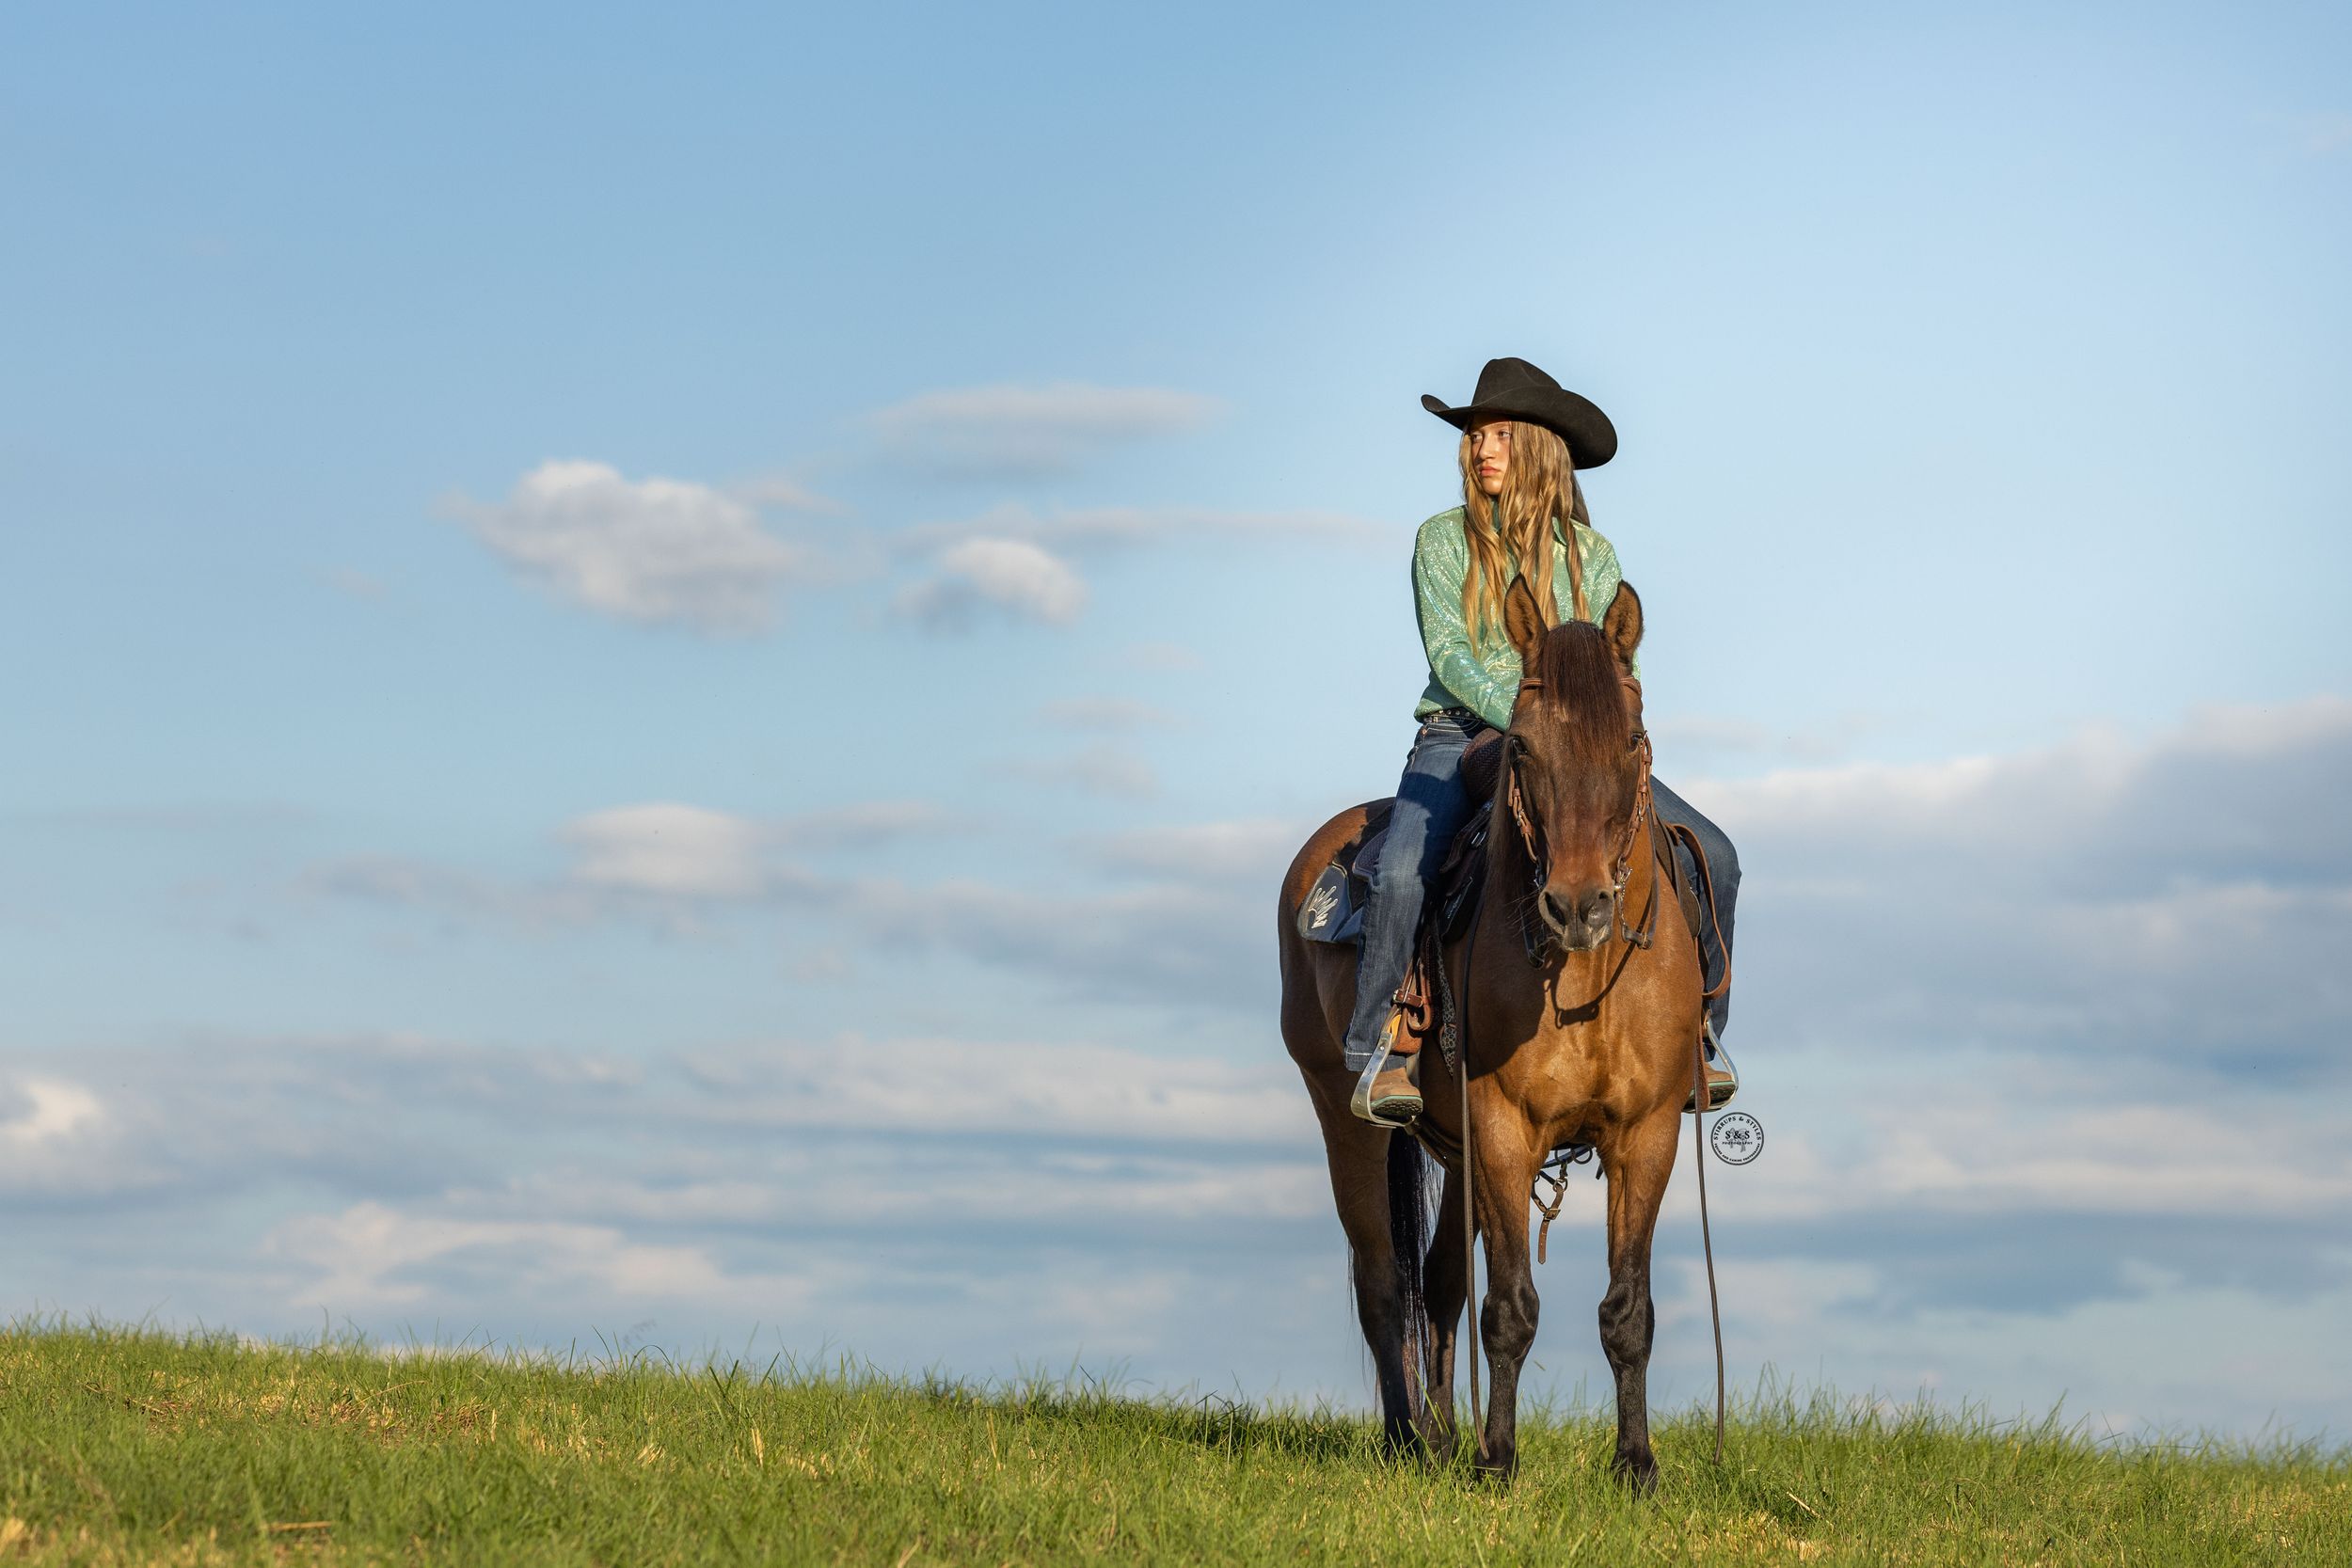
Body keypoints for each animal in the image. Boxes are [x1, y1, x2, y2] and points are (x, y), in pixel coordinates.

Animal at [1275, 576, 1705, 1487]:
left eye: (1634, 739)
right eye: (1527, 749)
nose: (1579, 906)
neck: (1581, 979)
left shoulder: (1645, 1134)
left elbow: (1628, 1310)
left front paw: (1636, 1466)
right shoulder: (1505, 1128)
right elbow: (1508, 1306)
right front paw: (1499, 1461)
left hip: (1453, 1147)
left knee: (1436, 1283)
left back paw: (1443, 1439)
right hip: (1345, 1116)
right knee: (1383, 1281)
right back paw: (1409, 1440)